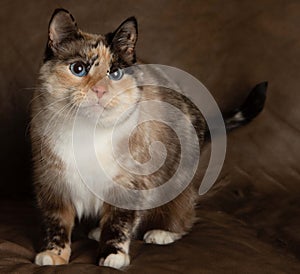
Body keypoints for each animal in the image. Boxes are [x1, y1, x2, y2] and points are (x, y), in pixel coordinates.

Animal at [31, 8, 268, 270]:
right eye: (79, 69)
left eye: (115, 73)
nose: (100, 91)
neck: (86, 132)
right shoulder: (53, 184)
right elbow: (57, 225)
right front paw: (53, 254)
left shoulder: (129, 184)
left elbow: (120, 224)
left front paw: (112, 255)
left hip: (175, 183)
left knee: (184, 214)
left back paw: (162, 233)